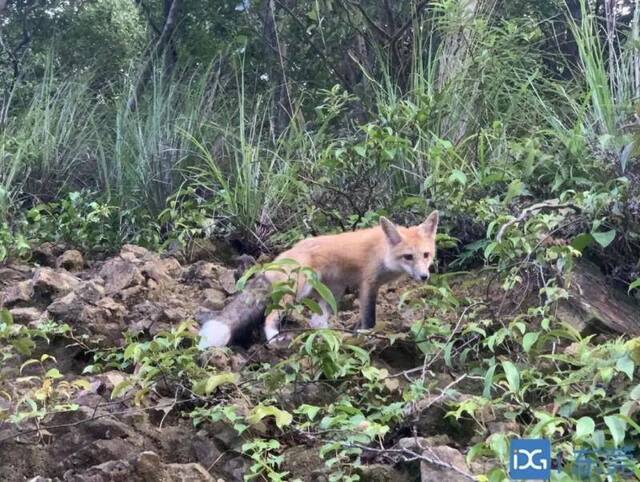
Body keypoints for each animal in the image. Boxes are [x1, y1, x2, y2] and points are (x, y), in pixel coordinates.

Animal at [199, 212, 440, 346]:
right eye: (408, 257)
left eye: (426, 255)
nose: (424, 276)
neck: (384, 252)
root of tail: (280, 257)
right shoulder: (368, 283)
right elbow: (369, 318)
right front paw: (366, 334)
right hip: (298, 290)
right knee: (270, 317)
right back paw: (275, 338)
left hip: (332, 293)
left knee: (316, 321)